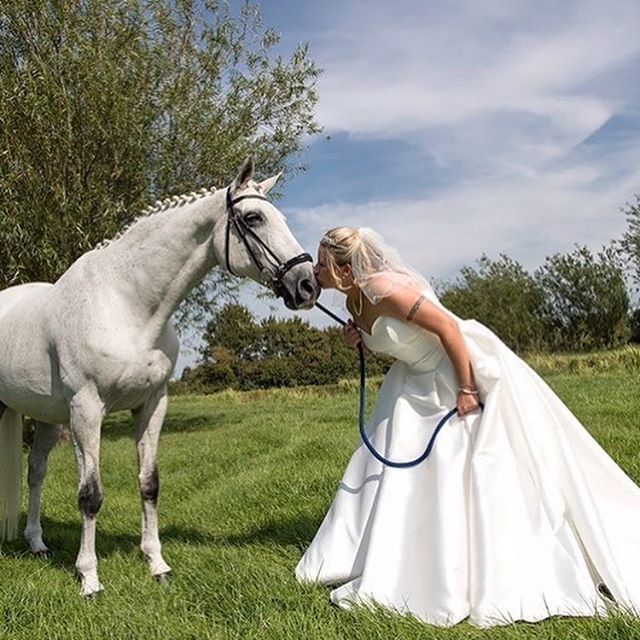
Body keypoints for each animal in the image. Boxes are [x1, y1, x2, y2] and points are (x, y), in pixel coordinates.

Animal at [0, 159, 320, 596]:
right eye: (254, 218)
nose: (307, 285)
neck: (125, 305)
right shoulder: (87, 409)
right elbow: (90, 495)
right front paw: (89, 578)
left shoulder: (152, 404)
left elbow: (149, 483)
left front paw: (157, 564)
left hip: (48, 419)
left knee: (35, 473)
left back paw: (36, 543)